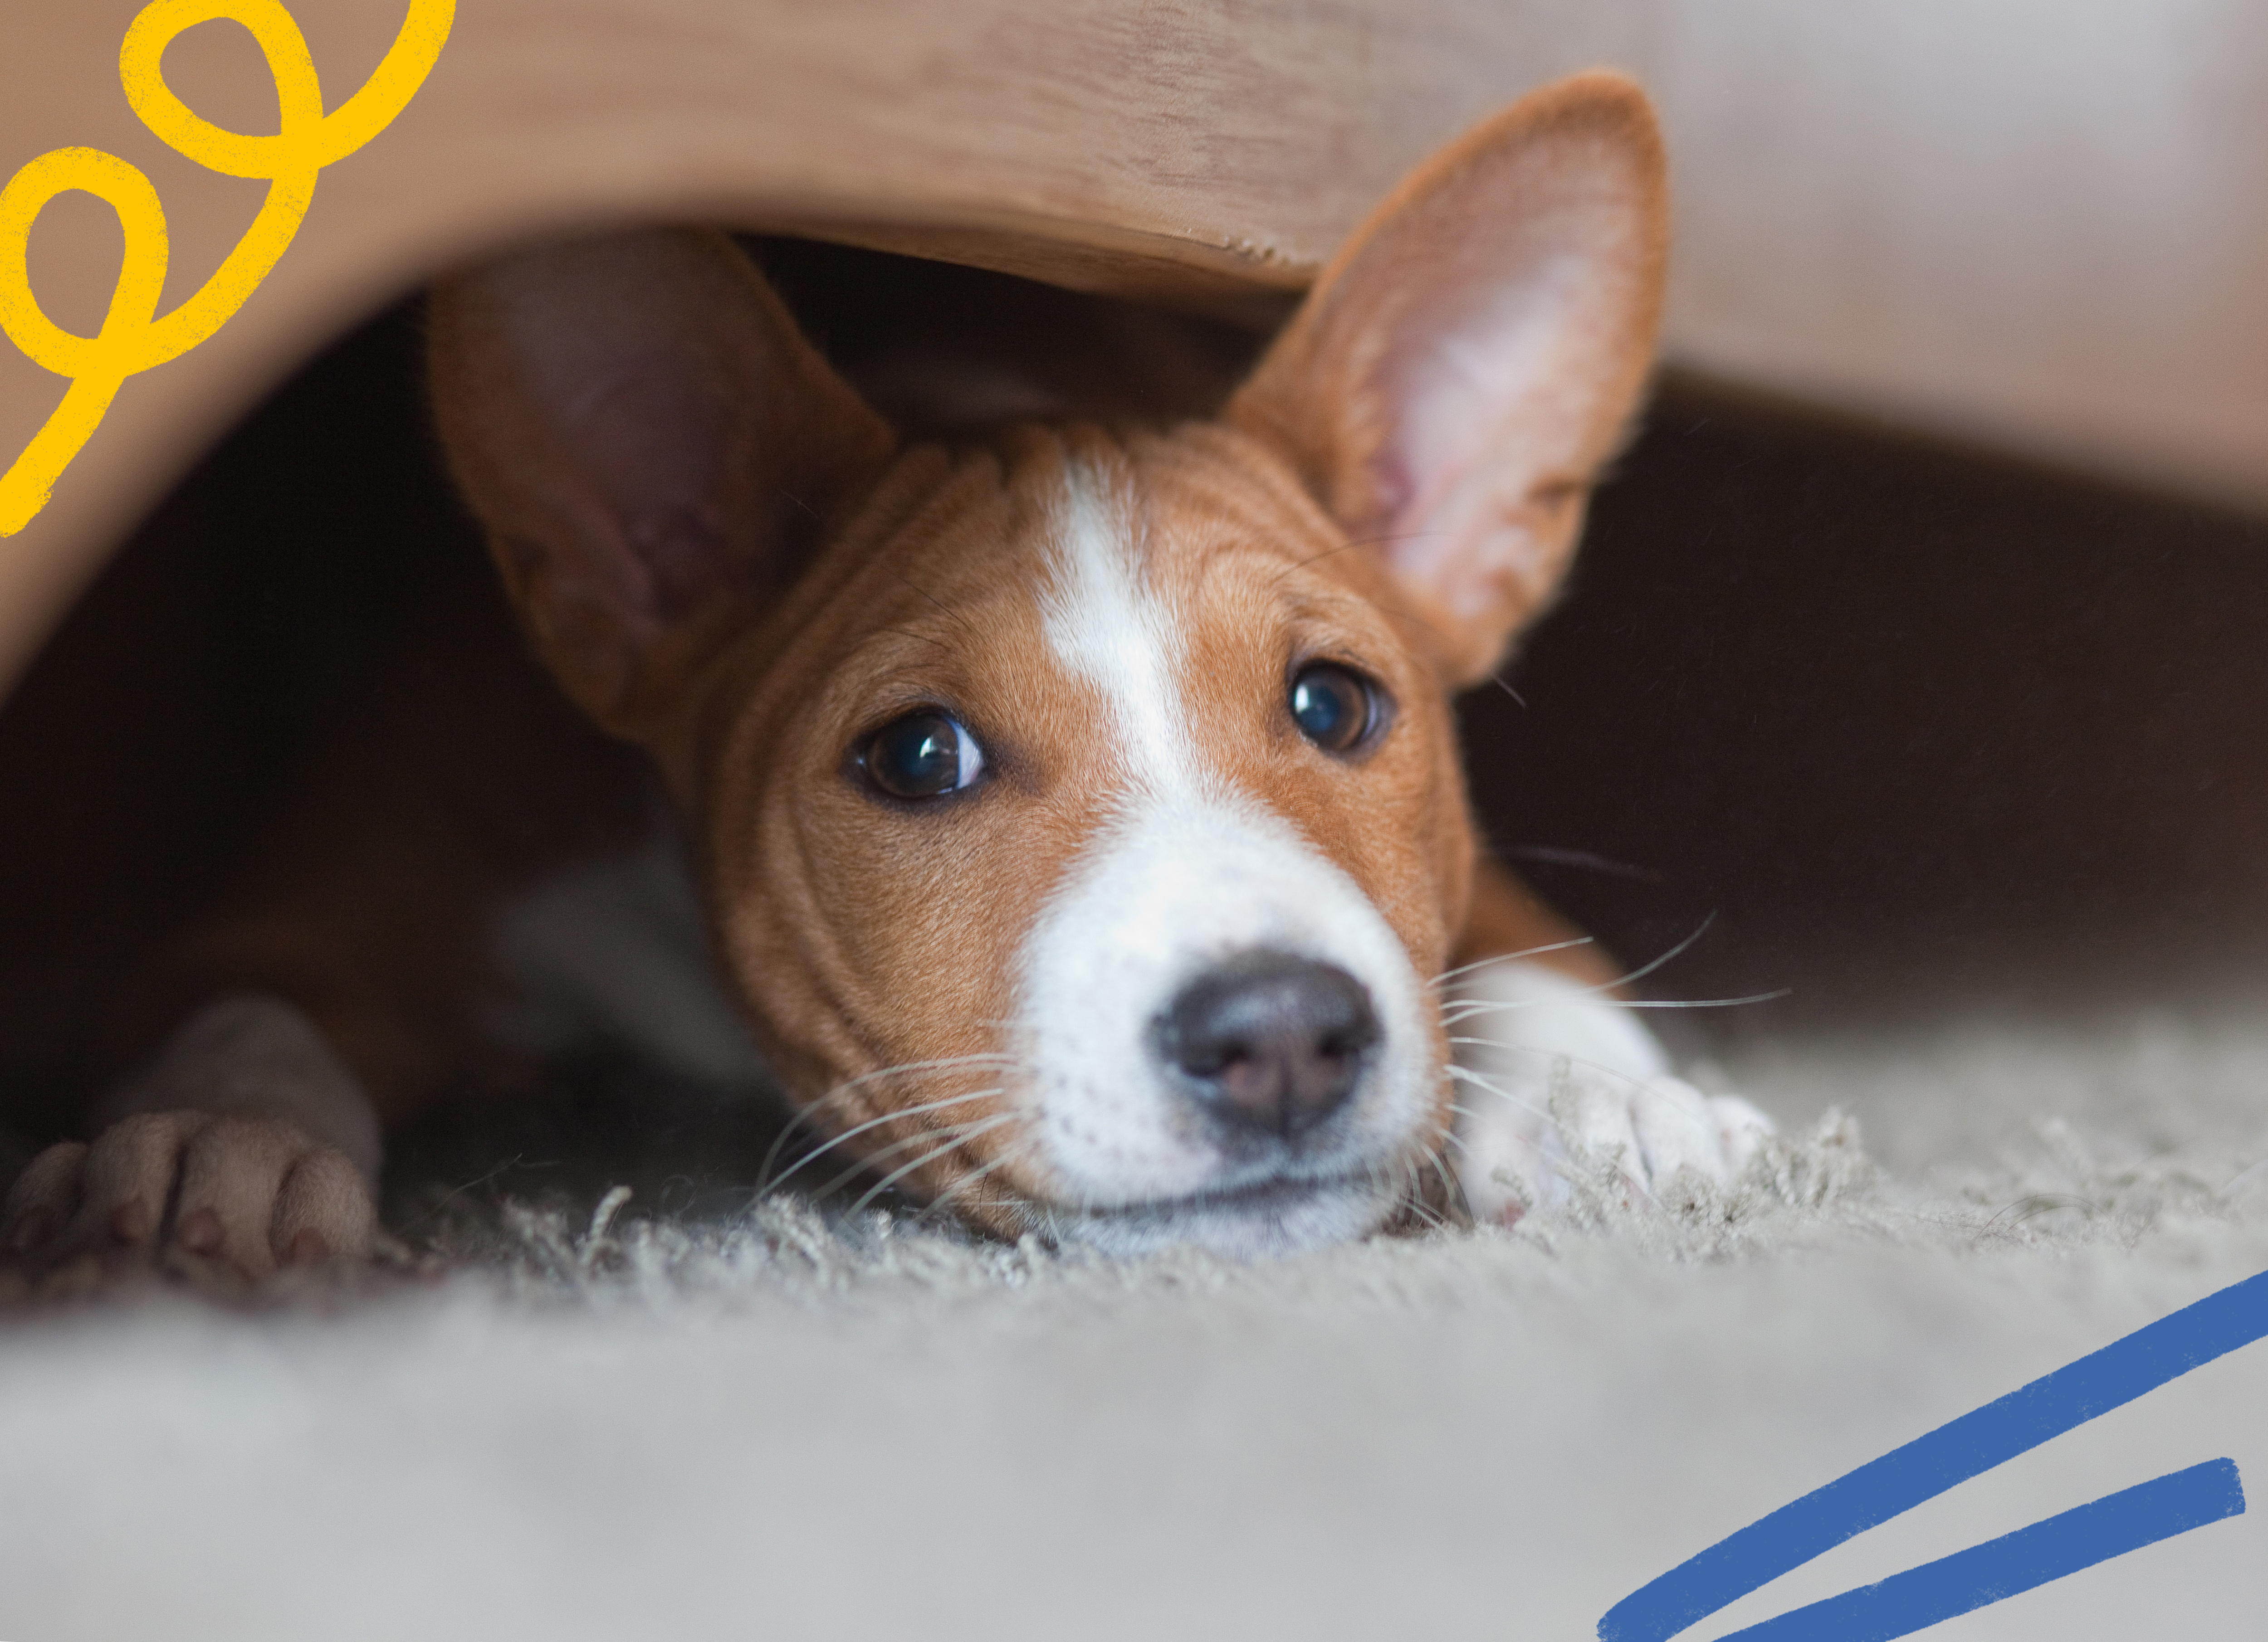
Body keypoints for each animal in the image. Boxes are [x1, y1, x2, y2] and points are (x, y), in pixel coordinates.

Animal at [4, 70, 1769, 1279]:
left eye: (1334, 705)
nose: (1281, 1033)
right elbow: (244, 1015)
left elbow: (1515, 941)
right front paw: (209, 1151)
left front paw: (1609, 1098)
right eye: (919, 756)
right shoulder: (305, 893)